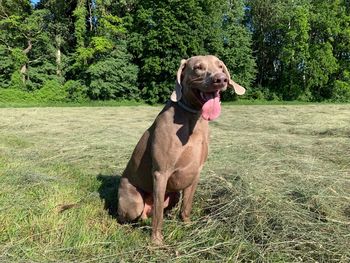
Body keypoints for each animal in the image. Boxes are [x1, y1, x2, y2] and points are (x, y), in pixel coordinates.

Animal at [116, 55, 245, 245]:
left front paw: (187, 224)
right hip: (134, 200)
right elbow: (158, 217)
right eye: (198, 67)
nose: (221, 79)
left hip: (174, 194)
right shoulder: (161, 173)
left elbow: (187, 205)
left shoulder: (195, 172)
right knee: (131, 216)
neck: (193, 118)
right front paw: (156, 242)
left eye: (220, 66)